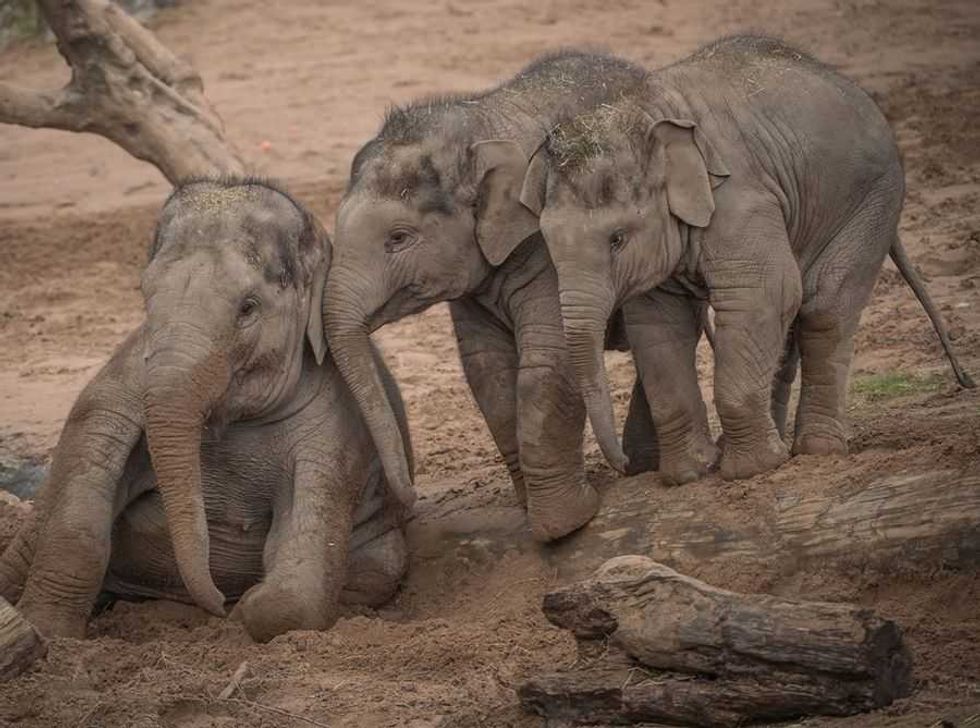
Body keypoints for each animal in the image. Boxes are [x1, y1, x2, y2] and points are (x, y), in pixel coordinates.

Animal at [0, 177, 413, 642]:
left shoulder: (335, 435)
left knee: (380, 568)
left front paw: (239, 615)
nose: (215, 603)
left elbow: (296, 586)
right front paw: (51, 634)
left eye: (248, 307)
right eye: (146, 298)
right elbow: (86, 488)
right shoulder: (120, 384)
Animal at [480, 36, 974, 483]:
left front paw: (750, 470)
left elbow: (765, 294)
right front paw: (691, 473)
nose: (622, 465)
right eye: (546, 240)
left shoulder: (741, 197)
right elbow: (658, 324)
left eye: (617, 239)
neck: (641, 114)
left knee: (825, 305)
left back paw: (816, 451)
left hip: (872, 200)